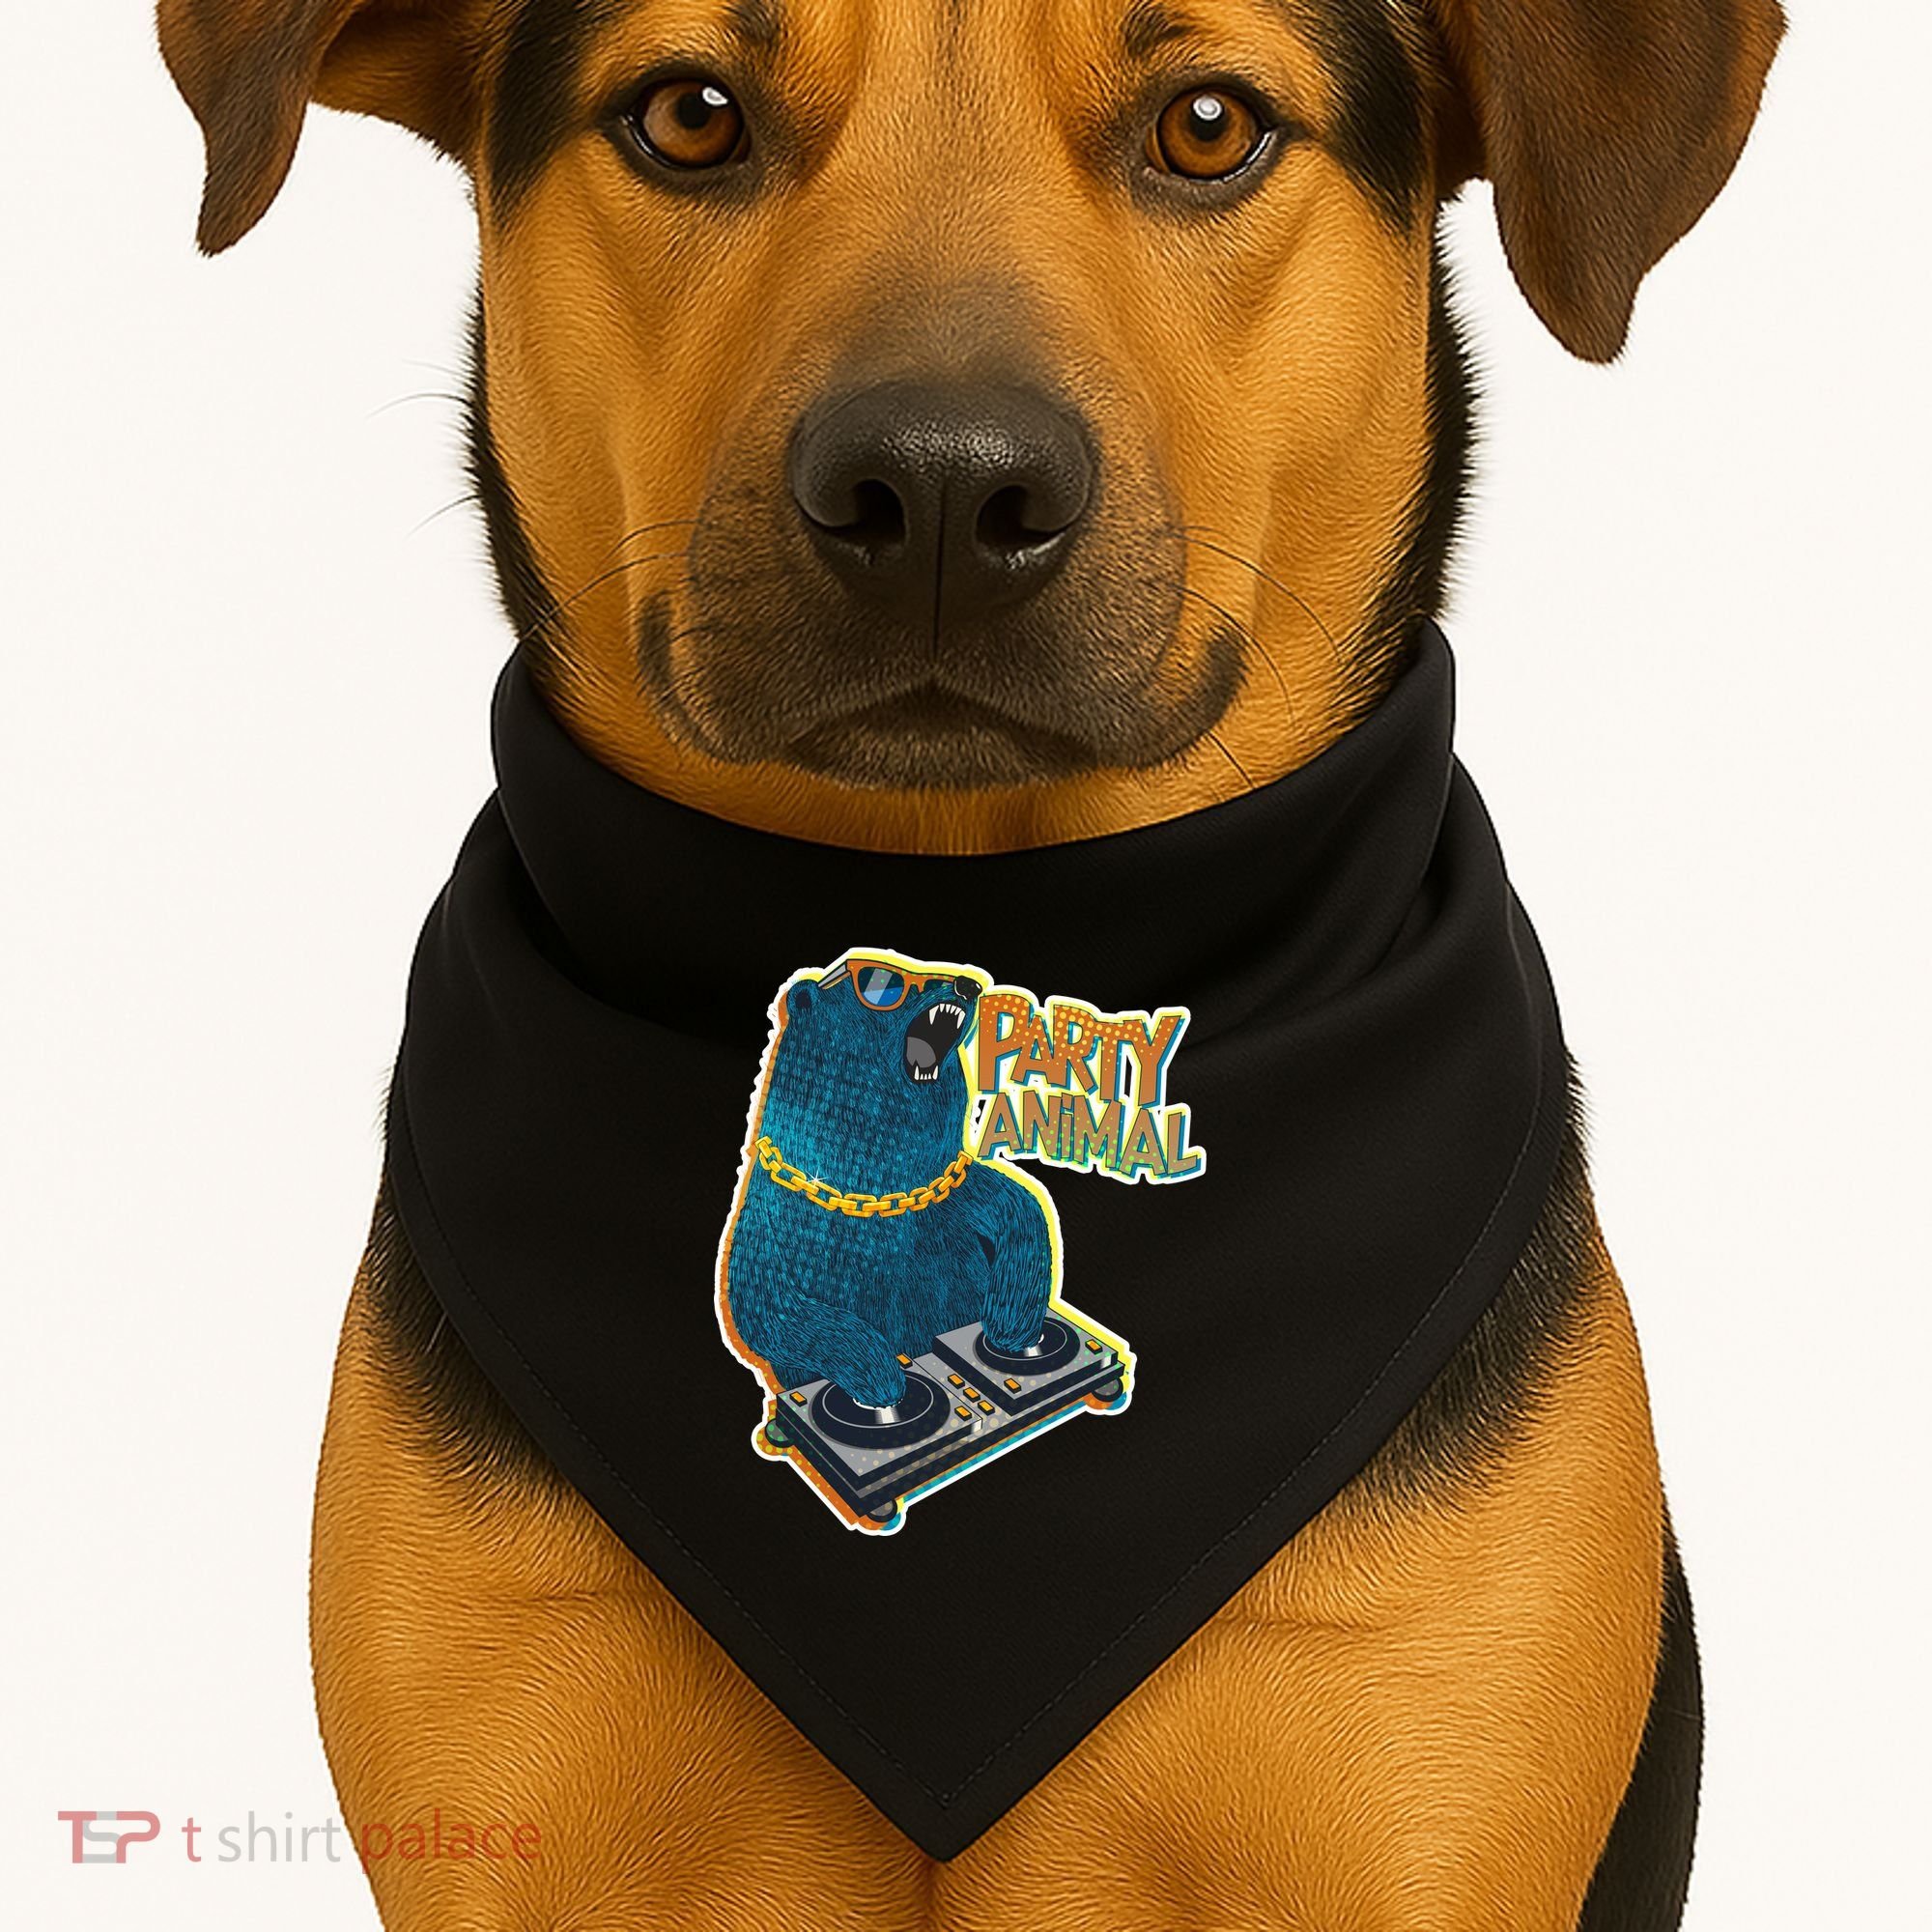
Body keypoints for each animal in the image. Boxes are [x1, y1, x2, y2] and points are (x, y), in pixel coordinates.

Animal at [720, 952, 1057, 1410]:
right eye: (882, 985)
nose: (967, 985)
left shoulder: (944, 1188)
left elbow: (1017, 1208)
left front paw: (1011, 1322)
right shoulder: (777, 1218)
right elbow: (767, 1304)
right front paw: (880, 1376)